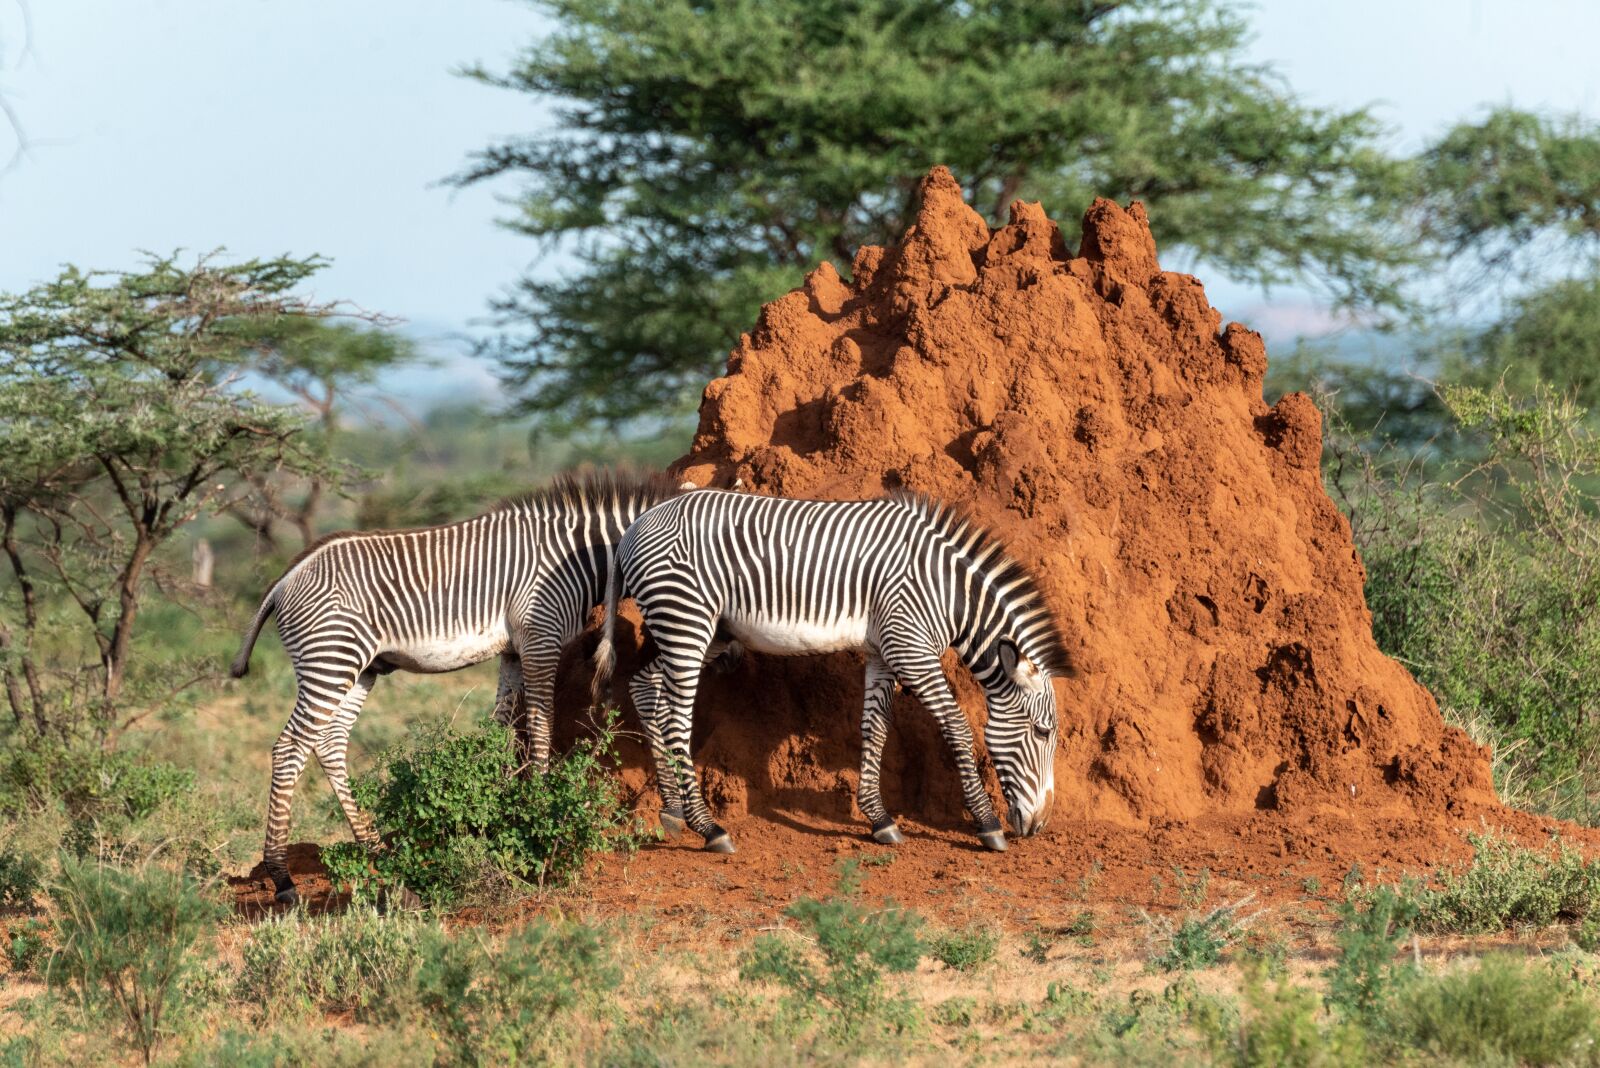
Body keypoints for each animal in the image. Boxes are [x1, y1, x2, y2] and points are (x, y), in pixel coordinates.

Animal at [229, 471, 683, 904]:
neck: (579, 556)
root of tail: (285, 578)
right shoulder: (540, 637)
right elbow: (540, 725)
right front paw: (540, 811)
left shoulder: (514, 651)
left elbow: (503, 728)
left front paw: (498, 809)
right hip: (331, 658)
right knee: (290, 747)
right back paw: (282, 877)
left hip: (361, 667)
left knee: (329, 742)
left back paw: (381, 855)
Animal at [594, 488, 1073, 854]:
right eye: (1043, 732)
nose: (1040, 826)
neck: (945, 591)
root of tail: (637, 525)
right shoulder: (910, 648)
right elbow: (956, 726)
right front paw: (987, 825)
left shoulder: (883, 651)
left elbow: (875, 729)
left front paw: (880, 820)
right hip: (686, 621)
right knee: (677, 717)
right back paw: (709, 828)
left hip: (702, 630)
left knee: (644, 686)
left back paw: (672, 811)